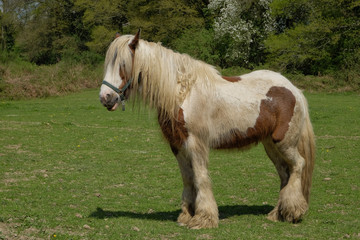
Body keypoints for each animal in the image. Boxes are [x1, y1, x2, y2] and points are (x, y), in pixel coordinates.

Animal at [99, 31, 316, 230]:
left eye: (123, 64)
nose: (105, 97)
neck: (183, 93)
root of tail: (294, 90)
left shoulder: (196, 144)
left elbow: (200, 177)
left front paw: (204, 218)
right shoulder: (178, 146)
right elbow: (188, 179)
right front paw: (187, 215)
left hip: (285, 143)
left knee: (298, 165)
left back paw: (293, 212)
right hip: (271, 145)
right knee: (285, 173)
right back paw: (278, 214)